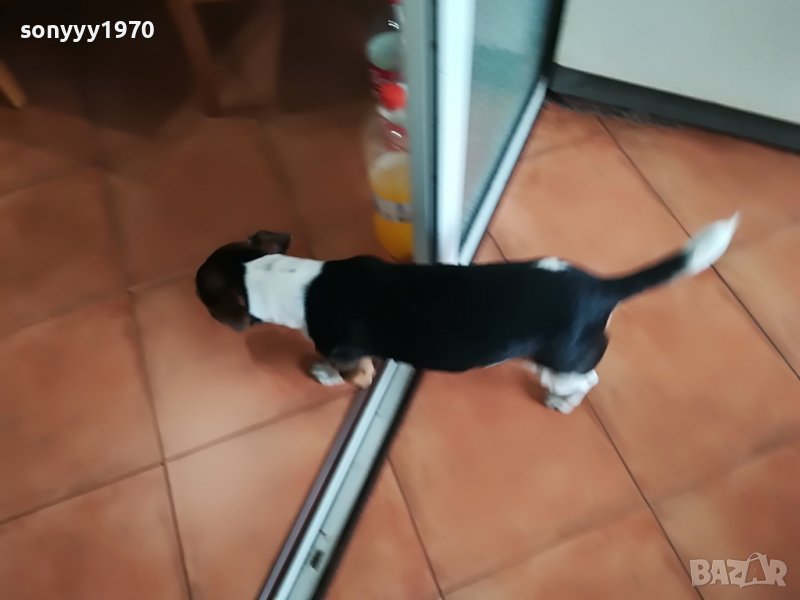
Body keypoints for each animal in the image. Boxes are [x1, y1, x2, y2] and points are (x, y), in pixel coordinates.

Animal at [195, 214, 739, 413]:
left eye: (202, 297)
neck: (292, 280)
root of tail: (601, 287)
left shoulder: (351, 359)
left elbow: (343, 372)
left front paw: (322, 375)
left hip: (560, 364)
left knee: (588, 382)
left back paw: (562, 404)